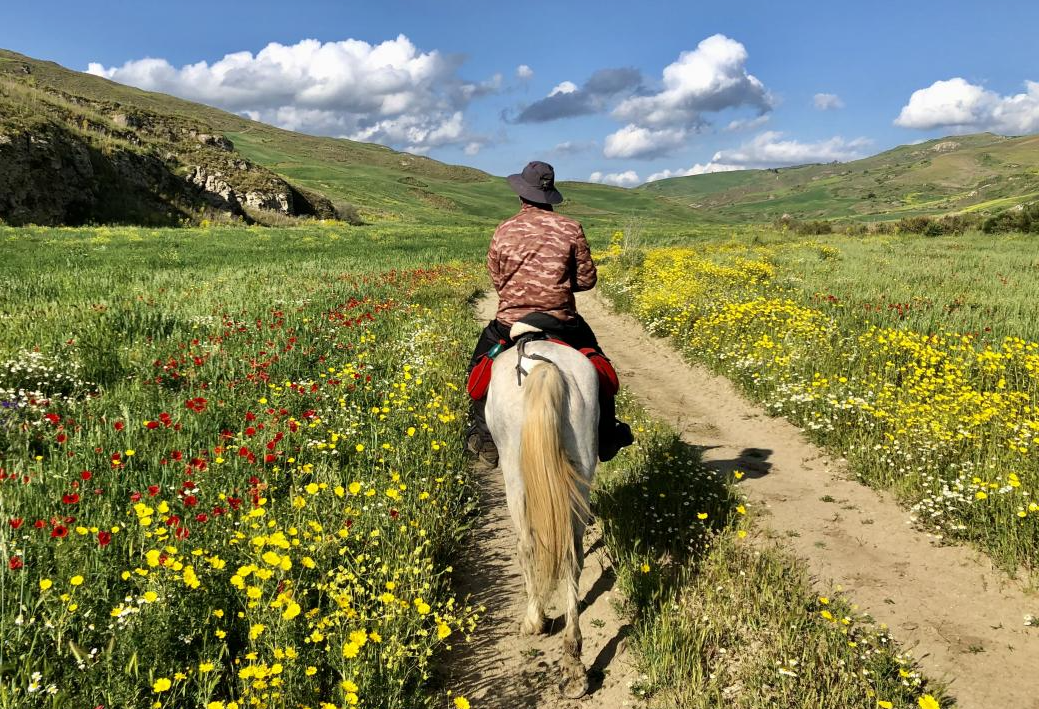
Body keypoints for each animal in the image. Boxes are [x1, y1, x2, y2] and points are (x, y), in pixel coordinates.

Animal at [486, 324, 602, 694]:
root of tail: (545, 366)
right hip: (582, 467)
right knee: (572, 555)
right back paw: (574, 660)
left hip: (514, 477)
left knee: (526, 546)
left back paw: (534, 619)